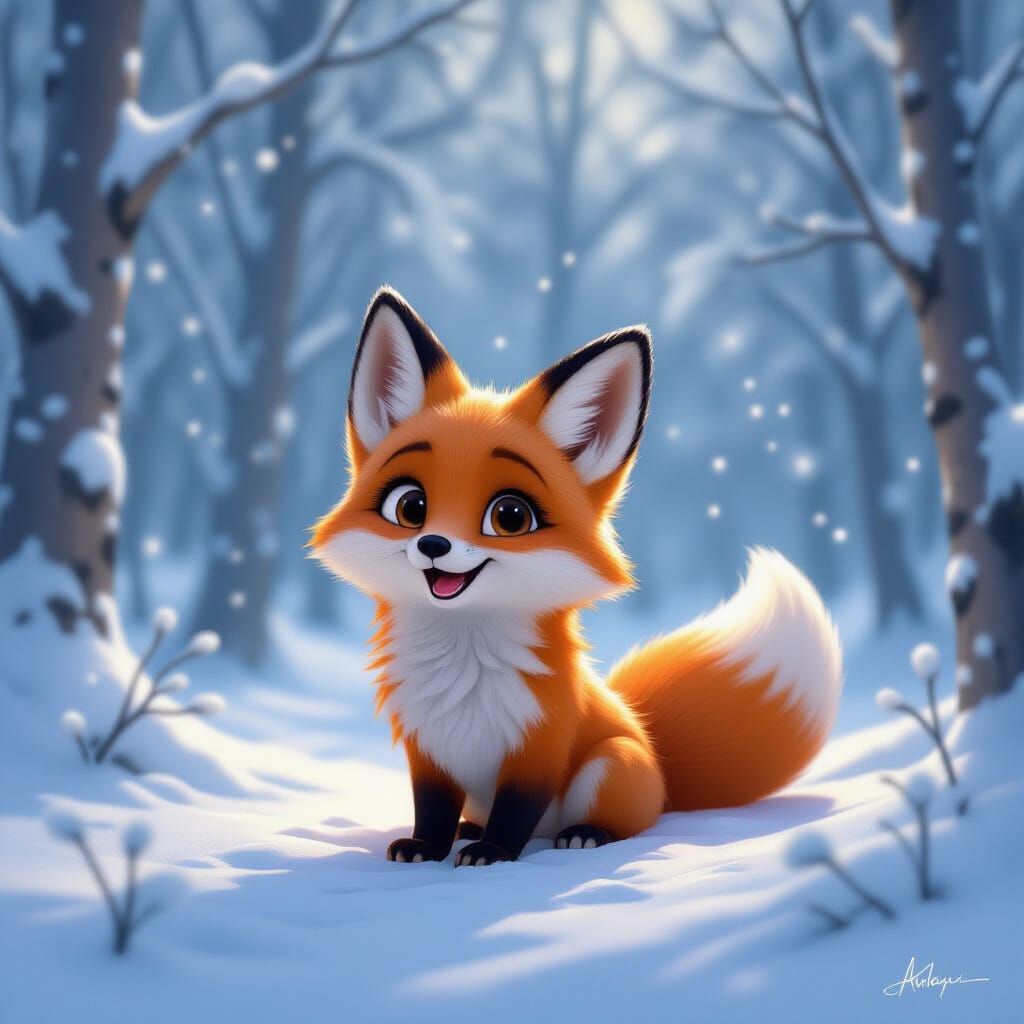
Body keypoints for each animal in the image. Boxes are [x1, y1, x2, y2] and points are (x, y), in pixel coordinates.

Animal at [312, 286, 842, 867]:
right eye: (410, 507)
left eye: (510, 516)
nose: (433, 546)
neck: (463, 666)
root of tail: (660, 766)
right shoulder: (428, 751)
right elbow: (431, 809)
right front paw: (427, 847)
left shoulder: (539, 748)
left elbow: (516, 810)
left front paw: (491, 853)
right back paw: (471, 830)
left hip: (609, 765)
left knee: (613, 823)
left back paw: (582, 834)